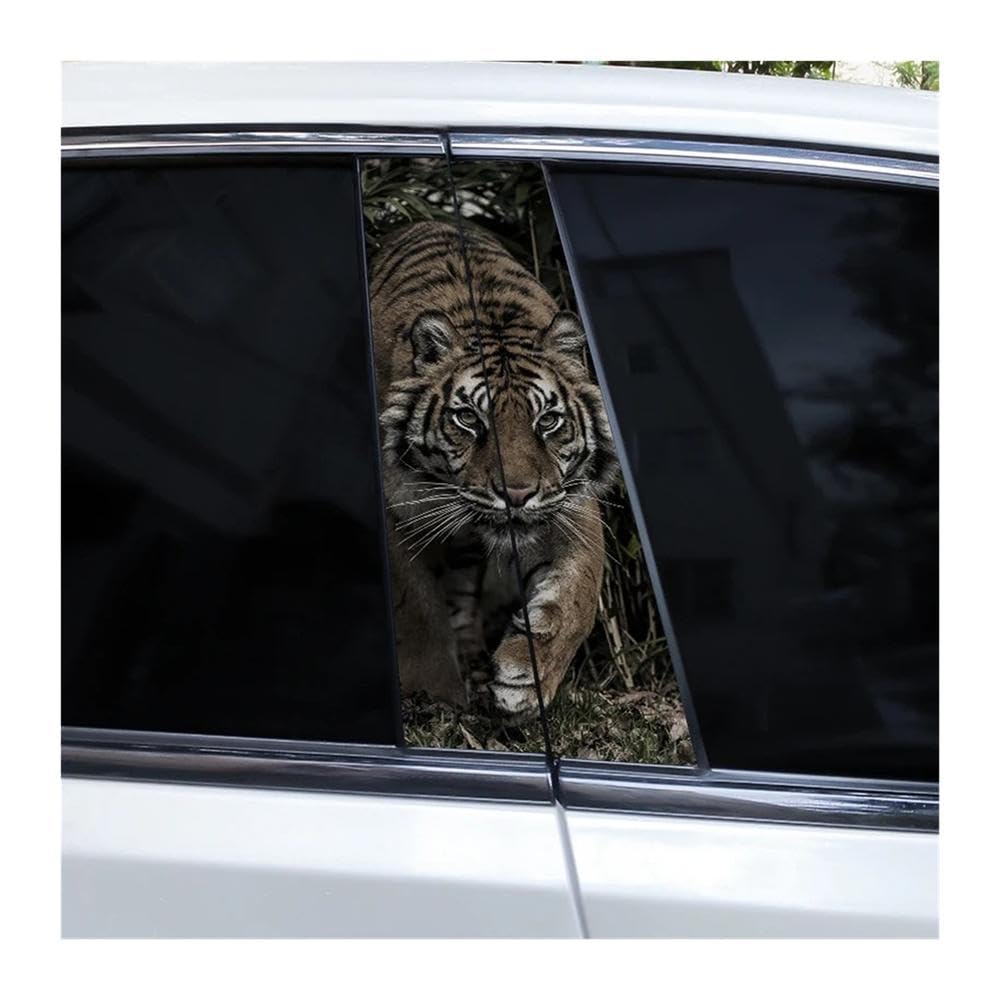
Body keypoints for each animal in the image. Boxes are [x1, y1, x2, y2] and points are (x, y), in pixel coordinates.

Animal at [369, 220, 618, 720]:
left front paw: (524, 678)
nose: (517, 494)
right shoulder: (394, 511)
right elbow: (416, 608)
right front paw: (438, 696)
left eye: (548, 421)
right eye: (469, 419)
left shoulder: (571, 506)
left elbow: (576, 599)